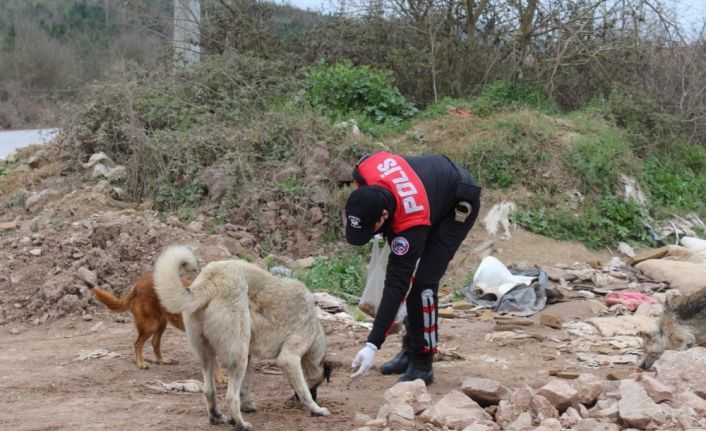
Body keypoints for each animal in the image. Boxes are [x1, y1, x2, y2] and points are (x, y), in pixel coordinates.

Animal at [89, 274, 224, 382]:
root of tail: (138, 284)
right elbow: (215, 362)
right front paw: (220, 378)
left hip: (161, 323)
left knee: (154, 343)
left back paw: (161, 360)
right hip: (151, 325)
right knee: (137, 344)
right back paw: (141, 363)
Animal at [154, 245, 330, 430]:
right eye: (318, 384)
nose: (316, 397)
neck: (316, 330)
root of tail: (212, 279)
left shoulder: (249, 355)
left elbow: (245, 386)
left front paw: (246, 406)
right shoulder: (289, 358)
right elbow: (303, 391)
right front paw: (316, 409)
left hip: (209, 354)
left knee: (209, 390)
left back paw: (216, 417)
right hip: (238, 358)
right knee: (231, 397)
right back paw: (240, 423)